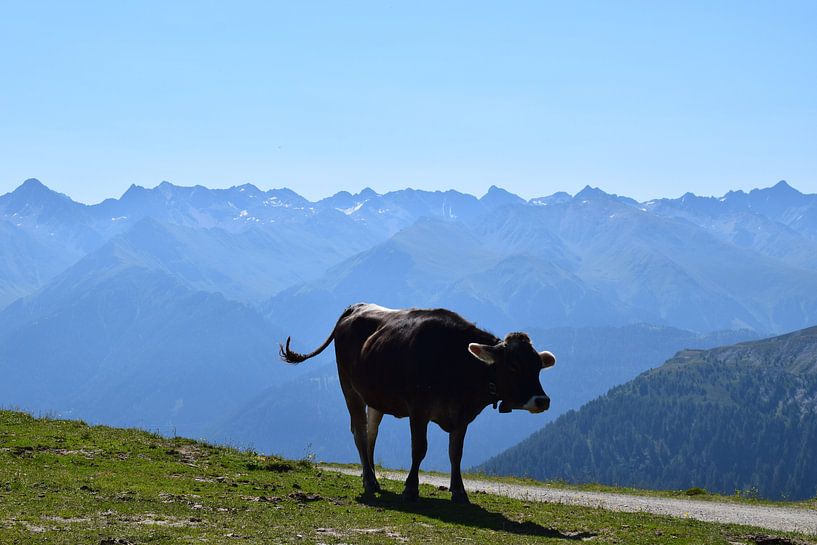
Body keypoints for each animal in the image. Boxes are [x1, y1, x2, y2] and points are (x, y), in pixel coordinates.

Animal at [279, 303, 556, 503]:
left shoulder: (463, 417)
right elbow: (419, 449)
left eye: (538, 367)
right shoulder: (419, 410)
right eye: (514, 365)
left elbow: (456, 453)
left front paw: (459, 492)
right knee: (359, 432)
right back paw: (368, 480)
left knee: (371, 433)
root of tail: (355, 307)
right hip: (349, 387)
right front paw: (411, 488)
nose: (542, 400)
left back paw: (372, 476)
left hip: (375, 396)